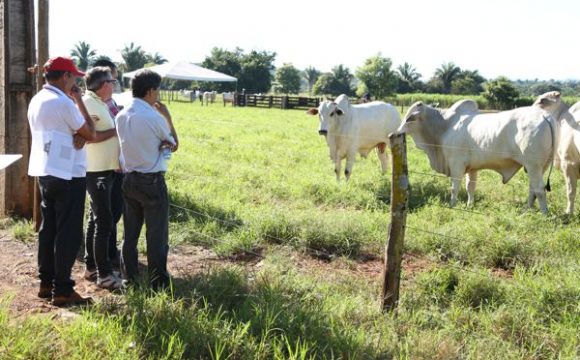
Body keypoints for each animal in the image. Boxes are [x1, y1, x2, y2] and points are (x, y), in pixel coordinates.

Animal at [394, 91, 568, 214]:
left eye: (409, 118)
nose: (396, 132)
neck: (445, 125)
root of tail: (545, 116)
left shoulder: (456, 165)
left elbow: (454, 187)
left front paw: (452, 205)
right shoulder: (472, 168)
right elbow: (470, 187)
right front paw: (469, 205)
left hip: (533, 166)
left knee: (539, 190)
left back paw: (544, 214)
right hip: (539, 167)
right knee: (533, 189)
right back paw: (527, 211)